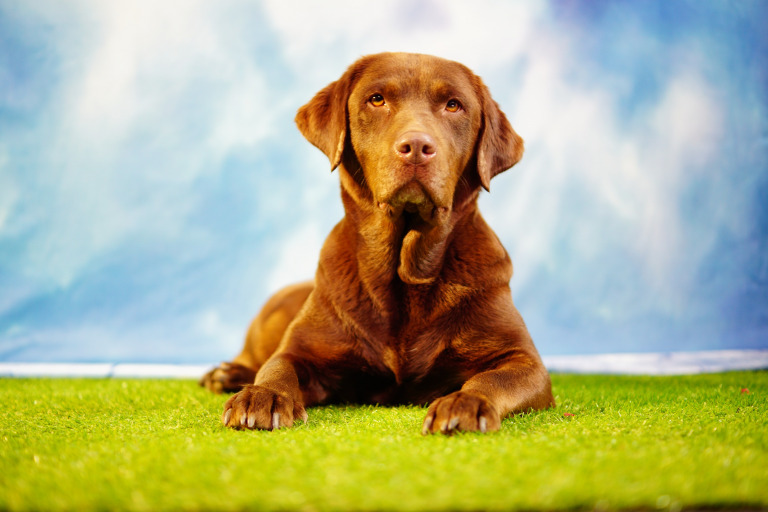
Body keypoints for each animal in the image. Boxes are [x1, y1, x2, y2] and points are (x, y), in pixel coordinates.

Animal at [201, 52, 556, 434]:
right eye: (377, 99)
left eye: (453, 105)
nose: (416, 147)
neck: (402, 274)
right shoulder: (301, 349)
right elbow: (278, 366)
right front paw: (262, 395)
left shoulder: (523, 360)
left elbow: (491, 378)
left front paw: (466, 401)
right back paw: (227, 374)